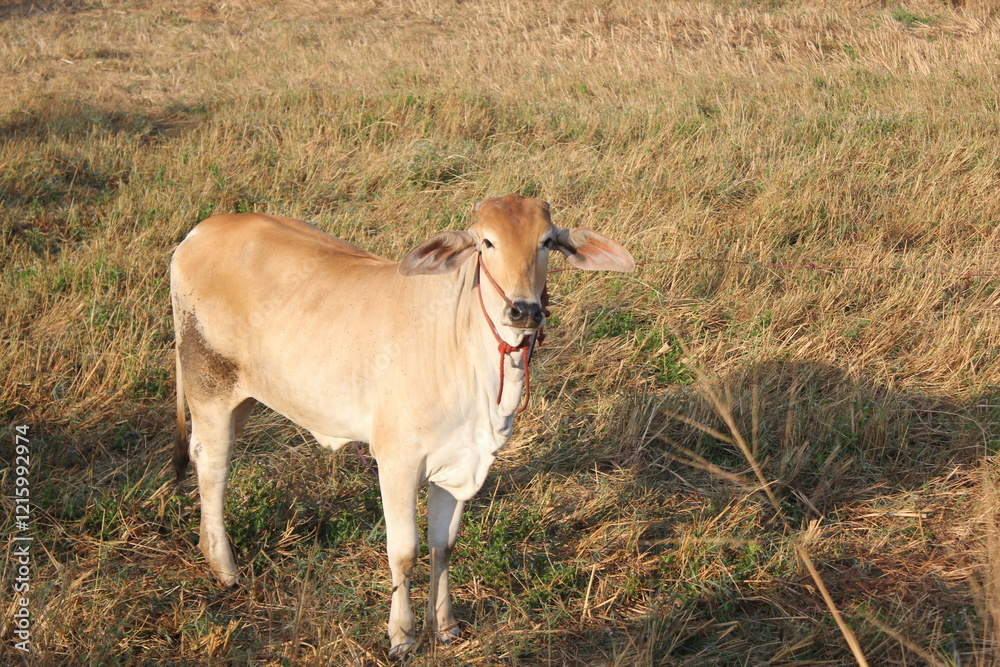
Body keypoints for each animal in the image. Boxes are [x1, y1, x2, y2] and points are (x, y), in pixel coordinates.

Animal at [170, 194, 634, 657]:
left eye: (546, 242)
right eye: (487, 242)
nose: (524, 310)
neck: (467, 351)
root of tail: (202, 231)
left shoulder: (459, 463)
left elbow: (443, 546)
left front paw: (444, 625)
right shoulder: (397, 463)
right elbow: (404, 552)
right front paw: (403, 634)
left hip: (244, 396)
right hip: (209, 386)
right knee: (213, 466)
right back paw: (224, 568)